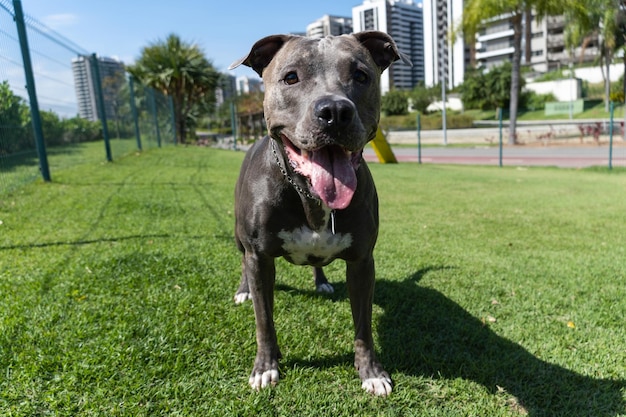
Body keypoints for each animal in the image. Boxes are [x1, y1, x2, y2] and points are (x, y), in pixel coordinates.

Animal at [229, 30, 410, 394]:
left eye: (361, 76)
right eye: (290, 77)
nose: (336, 110)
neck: (310, 197)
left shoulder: (362, 263)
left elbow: (363, 326)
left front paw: (371, 372)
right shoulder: (260, 258)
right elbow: (264, 320)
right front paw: (266, 367)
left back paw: (322, 282)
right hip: (240, 239)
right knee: (242, 263)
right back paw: (243, 290)